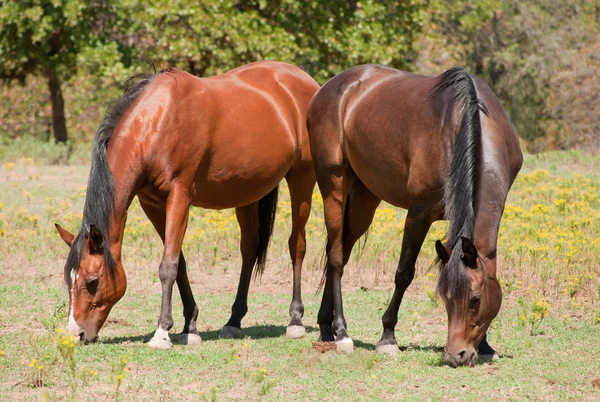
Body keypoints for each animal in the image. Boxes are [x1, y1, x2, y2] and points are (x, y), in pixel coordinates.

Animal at [54, 59, 322, 348]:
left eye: (93, 280)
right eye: (68, 280)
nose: (76, 334)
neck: (158, 123)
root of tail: (306, 81)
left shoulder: (179, 197)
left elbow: (168, 266)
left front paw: (162, 332)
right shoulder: (152, 205)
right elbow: (179, 262)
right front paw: (189, 326)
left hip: (302, 179)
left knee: (297, 244)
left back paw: (295, 321)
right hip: (247, 191)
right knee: (249, 248)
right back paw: (234, 321)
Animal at [308, 65, 524, 368]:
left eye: (475, 299)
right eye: (445, 298)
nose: (455, 355)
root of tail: (329, 88)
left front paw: (485, 346)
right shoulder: (419, 214)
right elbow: (404, 273)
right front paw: (387, 338)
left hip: (364, 199)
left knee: (339, 251)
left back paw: (326, 327)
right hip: (333, 187)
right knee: (337, 258)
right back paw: (341, 333)